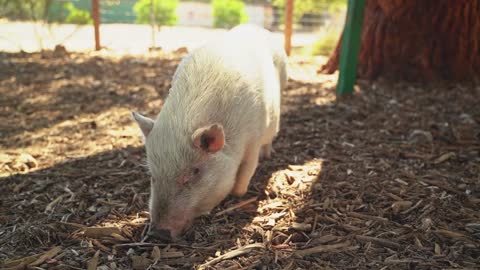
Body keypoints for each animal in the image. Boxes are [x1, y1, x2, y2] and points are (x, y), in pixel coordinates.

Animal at [131, 23, 286, 240]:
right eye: (152, 175)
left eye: (194, 172)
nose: (158, 233)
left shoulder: (253, 139)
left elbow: (245, 174)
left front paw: (237, 195)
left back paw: (268, 155)